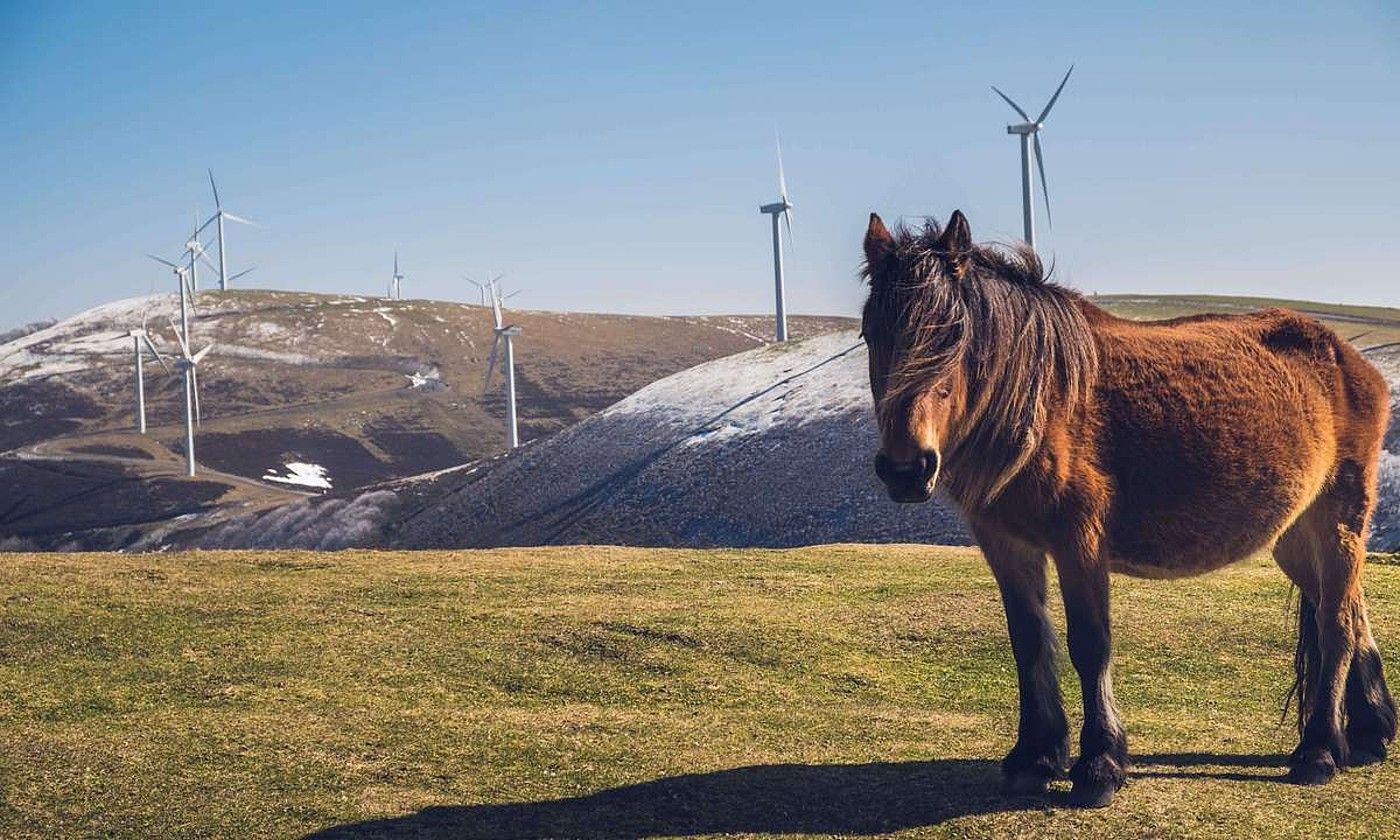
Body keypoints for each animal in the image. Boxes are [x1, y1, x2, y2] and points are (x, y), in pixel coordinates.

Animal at [856, 208, 1394, 806]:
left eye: (954, 335)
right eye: (870, 333)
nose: (906, 468)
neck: (1042, 399)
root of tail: (1350, 360)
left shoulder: (1079, 542)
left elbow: (1090, 645)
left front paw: (1099, 764)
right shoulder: (1006, 545)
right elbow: (1028, 642)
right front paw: (1035, 756)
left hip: (1338, 520)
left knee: (1337, 625)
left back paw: (1319, 751)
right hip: (1295, 538)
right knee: (1348, 612)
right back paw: (1368, 733)